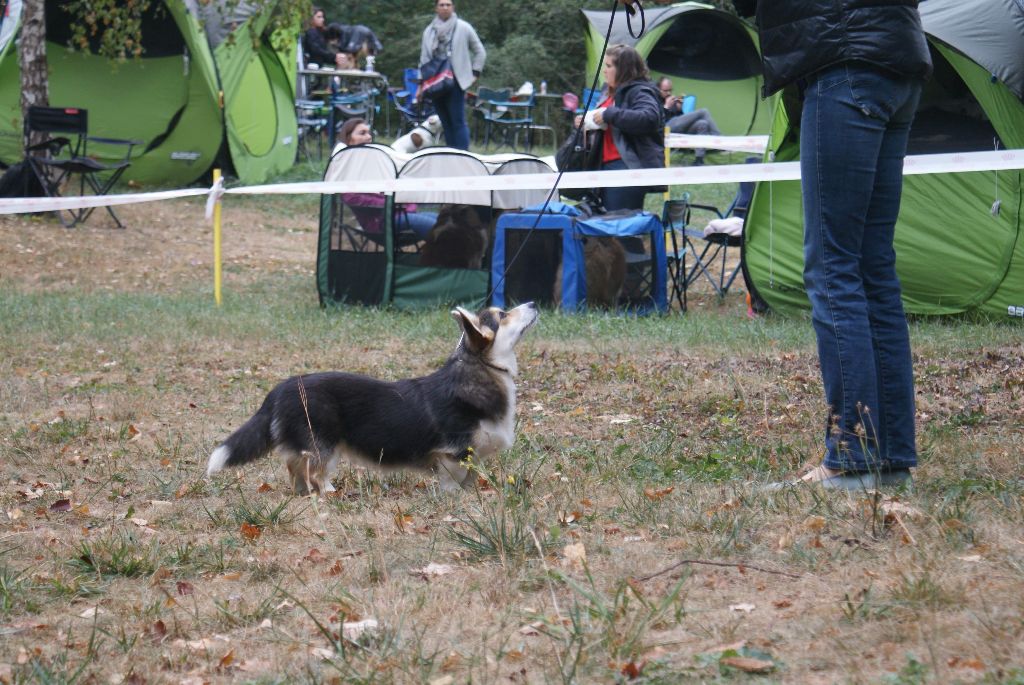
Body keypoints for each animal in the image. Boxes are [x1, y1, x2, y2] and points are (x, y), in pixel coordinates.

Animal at [208, 303, 544, 491]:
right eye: (503, 314)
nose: (533, 301)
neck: (481, 369)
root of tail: (281, 388)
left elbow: (471, 480)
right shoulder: (453, 454)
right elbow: (453, 484)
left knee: (297, 471)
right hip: (322, 444)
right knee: (310, 472)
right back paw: (328, 494)